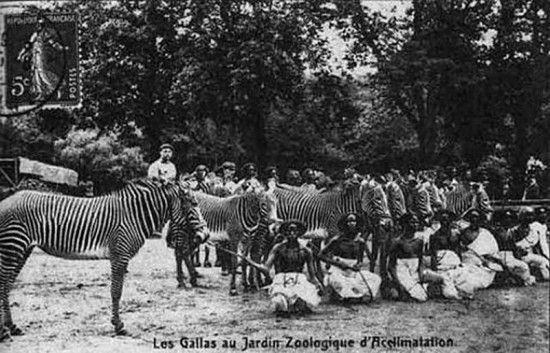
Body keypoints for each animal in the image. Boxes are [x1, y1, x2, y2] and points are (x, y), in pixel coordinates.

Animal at [0, 180, 209, 336]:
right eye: (194, 205)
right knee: (4, 284)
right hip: (13, 246)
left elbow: (116, 291)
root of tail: (7, 199)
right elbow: (116, 292)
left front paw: (117, 323)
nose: (205, 235)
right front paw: (118, 325)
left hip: (22, 249)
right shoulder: (120, 256)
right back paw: (5, 330)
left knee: (7, 284)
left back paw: (11, 326)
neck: (134, 216)